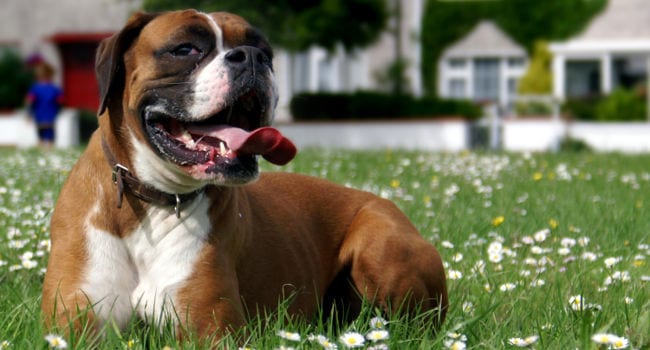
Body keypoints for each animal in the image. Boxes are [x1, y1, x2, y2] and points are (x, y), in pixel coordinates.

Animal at [40, 8, 446, 340]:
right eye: (185, 49)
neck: (152, 199)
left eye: (265, 51)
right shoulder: (73, 322)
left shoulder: (210, 331)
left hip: (380, 250)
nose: (253, 58)